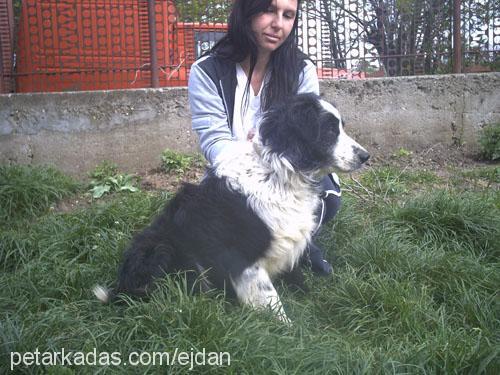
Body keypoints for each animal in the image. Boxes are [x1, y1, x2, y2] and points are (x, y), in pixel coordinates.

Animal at [93, 94, 368, 324]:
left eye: (341, 127)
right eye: (329, 130)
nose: (366, 156)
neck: (278, 173)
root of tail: (122, 287)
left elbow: (296, 275)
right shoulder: (243, 257)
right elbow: (270, 299)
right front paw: (289, 331)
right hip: (162, 247)